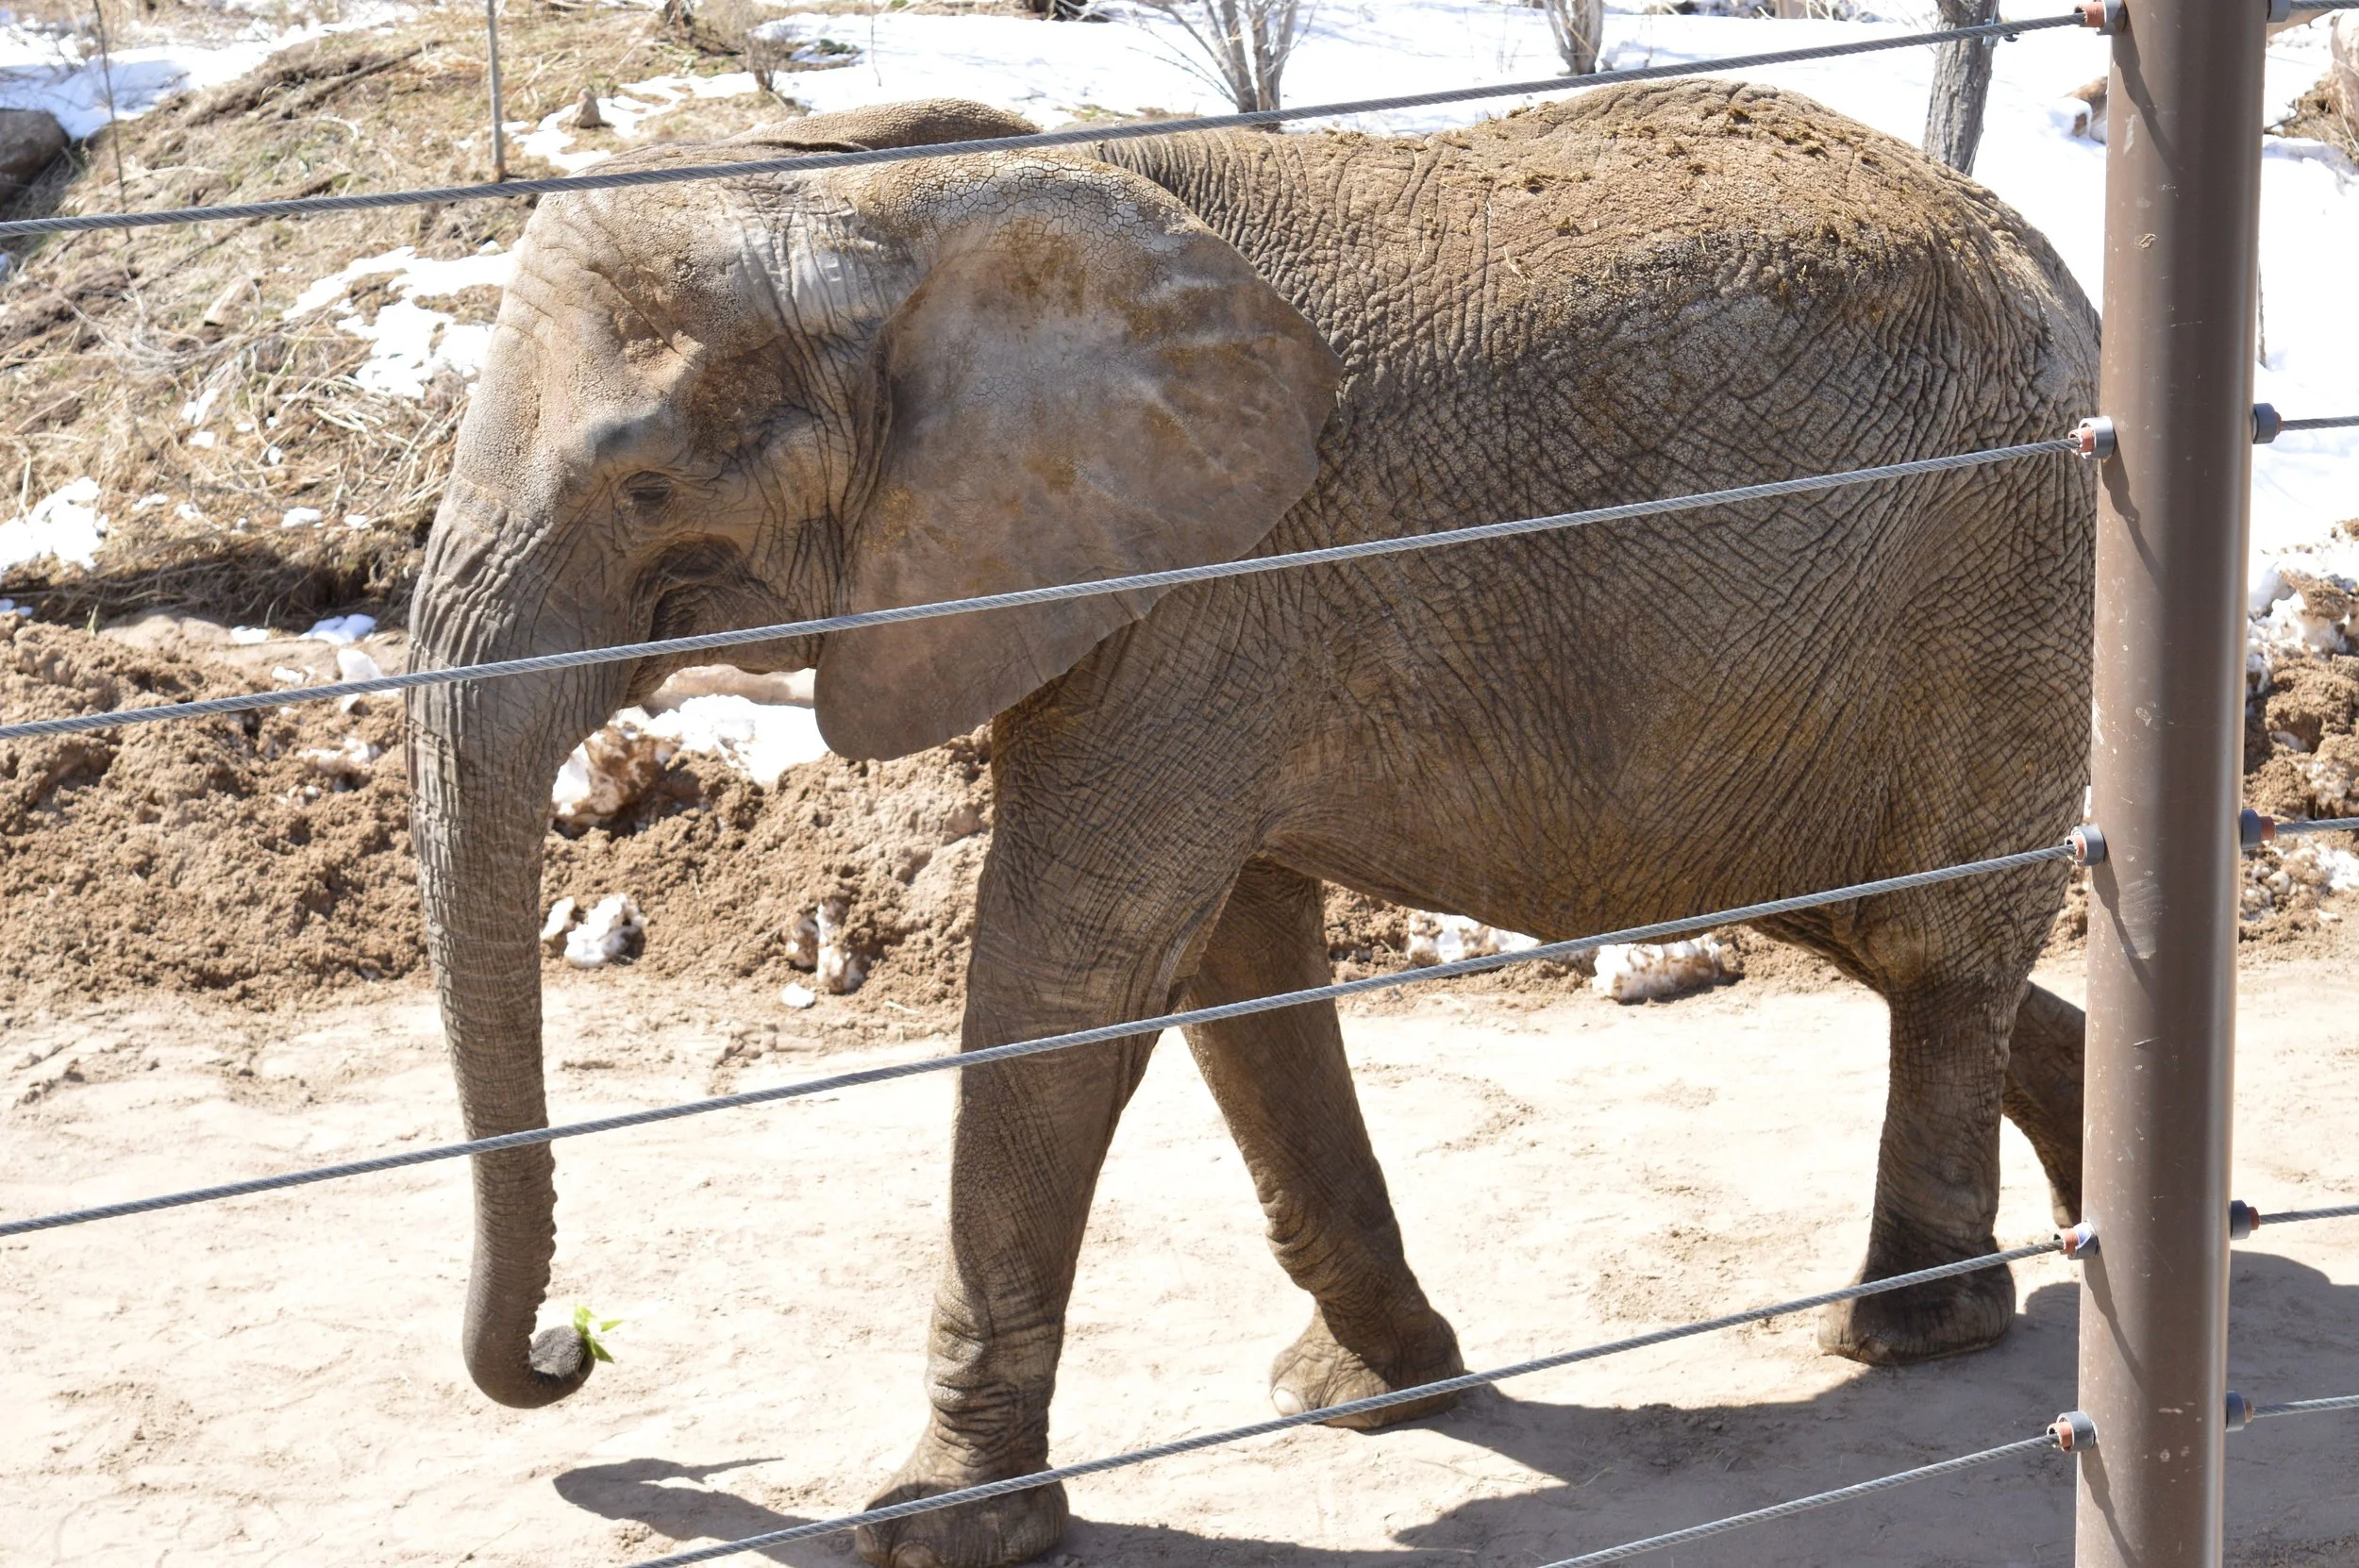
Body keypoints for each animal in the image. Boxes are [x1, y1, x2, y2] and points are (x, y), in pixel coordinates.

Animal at [404, 85, 2099, 1568]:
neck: (913, 202)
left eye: (643, 481)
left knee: (1932, 945)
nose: (570, 1348)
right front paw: (1370, 1396)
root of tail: (2046, 261)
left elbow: (1076, 967)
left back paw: (1910, 1325)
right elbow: (1230, 960)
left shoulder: (1210, 589)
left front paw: (937, 1529)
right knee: (1858, 917)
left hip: (1997, 569)